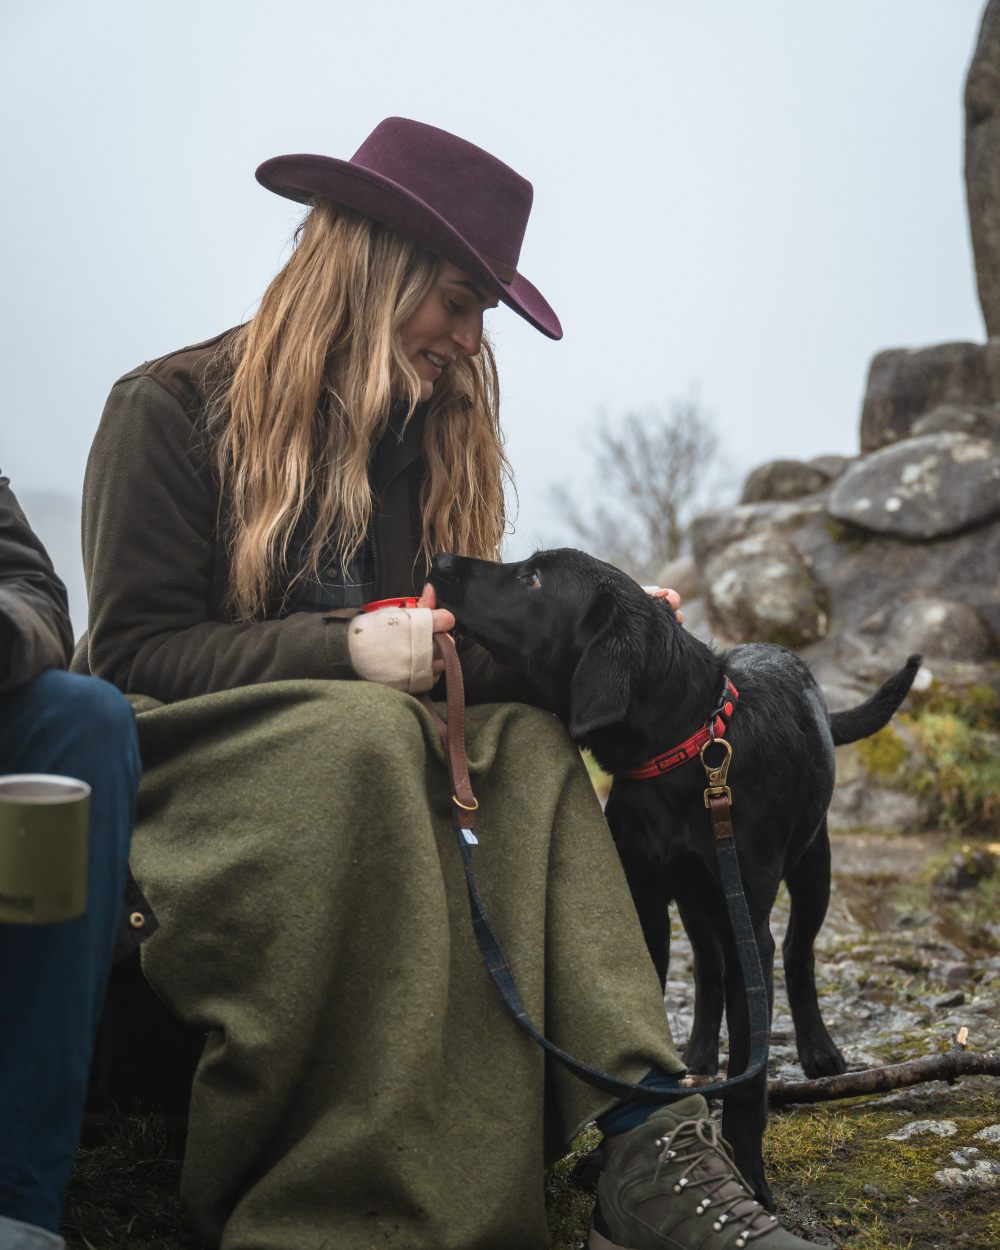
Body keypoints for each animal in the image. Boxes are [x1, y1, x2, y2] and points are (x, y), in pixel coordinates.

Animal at [430, 545, 915, 1200]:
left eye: (532, 578)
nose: (439, 559)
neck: (684, 748)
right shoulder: (645, 904)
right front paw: (610, 1153)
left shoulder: (746, 924)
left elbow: (748, 1078)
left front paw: (750, 1175)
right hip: (697, 902)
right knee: (709, 970)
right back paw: (702, 1053)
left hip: (812, 867)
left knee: (797, 953)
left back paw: (817, 1049)